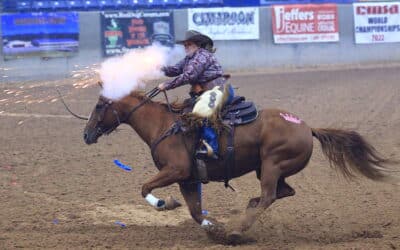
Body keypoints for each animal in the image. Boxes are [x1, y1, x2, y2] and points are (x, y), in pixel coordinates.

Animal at [81, 85, 394, 243]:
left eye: (98, 106)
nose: (86, 134)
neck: (164, 125)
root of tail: (307, 127)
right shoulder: (187, 179)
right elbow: (195, 212)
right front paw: (214, 228)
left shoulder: (176, 170)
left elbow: (144, 187)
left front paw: (165, 204)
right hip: (268, 168)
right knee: (282, 193)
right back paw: (245, 214)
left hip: (272, 165)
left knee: (270, 195)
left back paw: (239, 228)